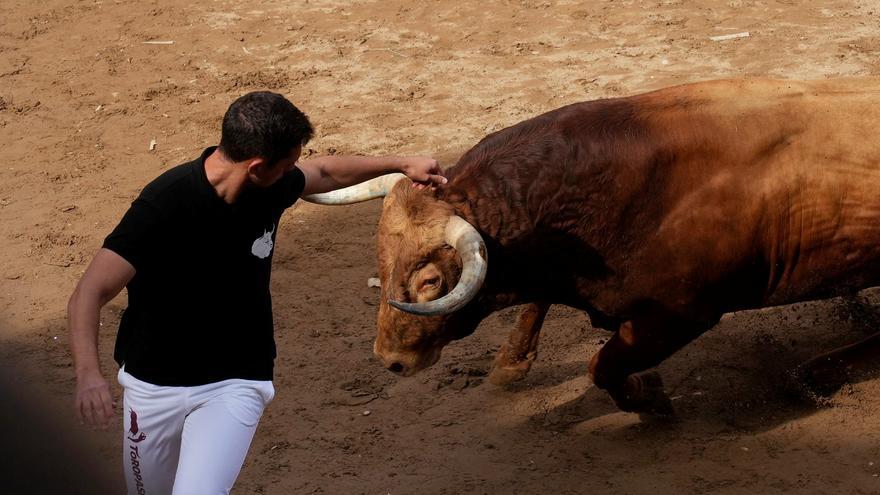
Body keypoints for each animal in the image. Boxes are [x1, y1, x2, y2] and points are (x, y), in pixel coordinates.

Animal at [304, 78, 880, 414]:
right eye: (381, 262)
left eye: (430, 281)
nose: (390, 361)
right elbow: (537, 299)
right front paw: (509, 366)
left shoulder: (680, 315)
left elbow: (602, 366)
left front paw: (650, 400)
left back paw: (813, 376)